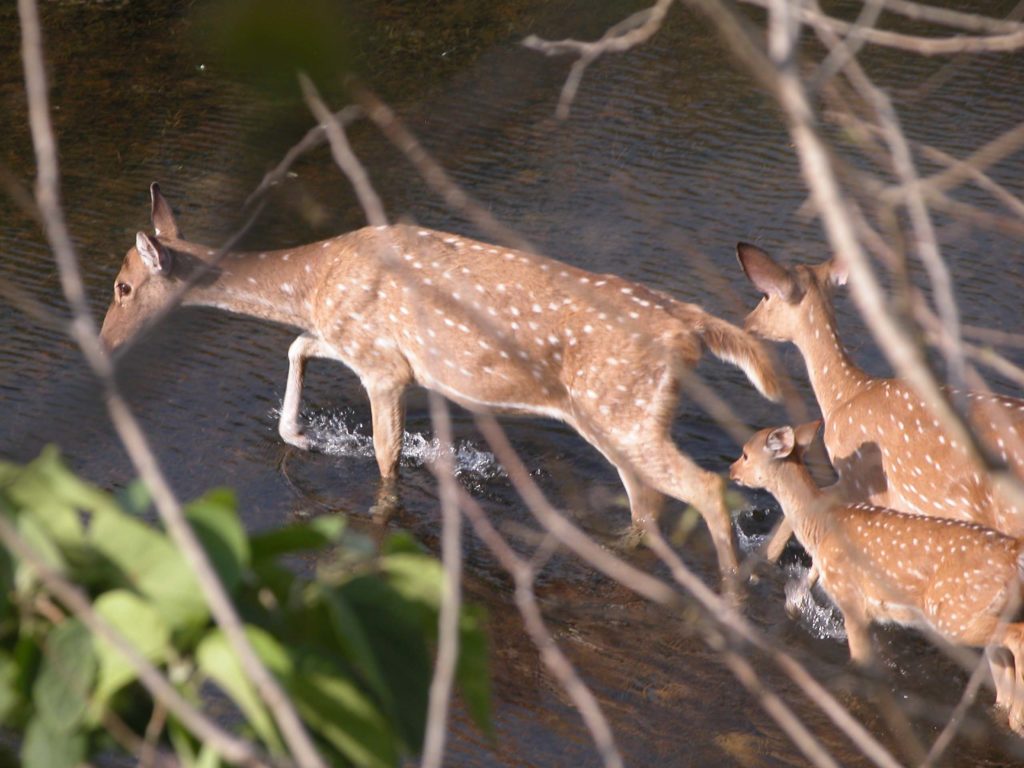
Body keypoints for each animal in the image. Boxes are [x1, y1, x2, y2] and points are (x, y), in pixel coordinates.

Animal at [99, 183, 778, 573]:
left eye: (122, 286)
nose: (103, 343)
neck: (315, 279)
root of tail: (689, 327)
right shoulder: (355, 342)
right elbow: (298, 345)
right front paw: (299, 434)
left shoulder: (384, 364)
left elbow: (385, 454)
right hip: (620, 418)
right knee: (649, 506)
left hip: (622, 409)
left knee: (704, 490)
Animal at [733, 423, 1024, 737]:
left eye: (746, 453)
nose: (731, 469)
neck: (821, 528)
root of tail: (1013, 554)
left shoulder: (851, 597)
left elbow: (859, 662)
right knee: (1002, 666)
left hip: (953, 614)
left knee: (1015, 638)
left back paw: (1017, 719)